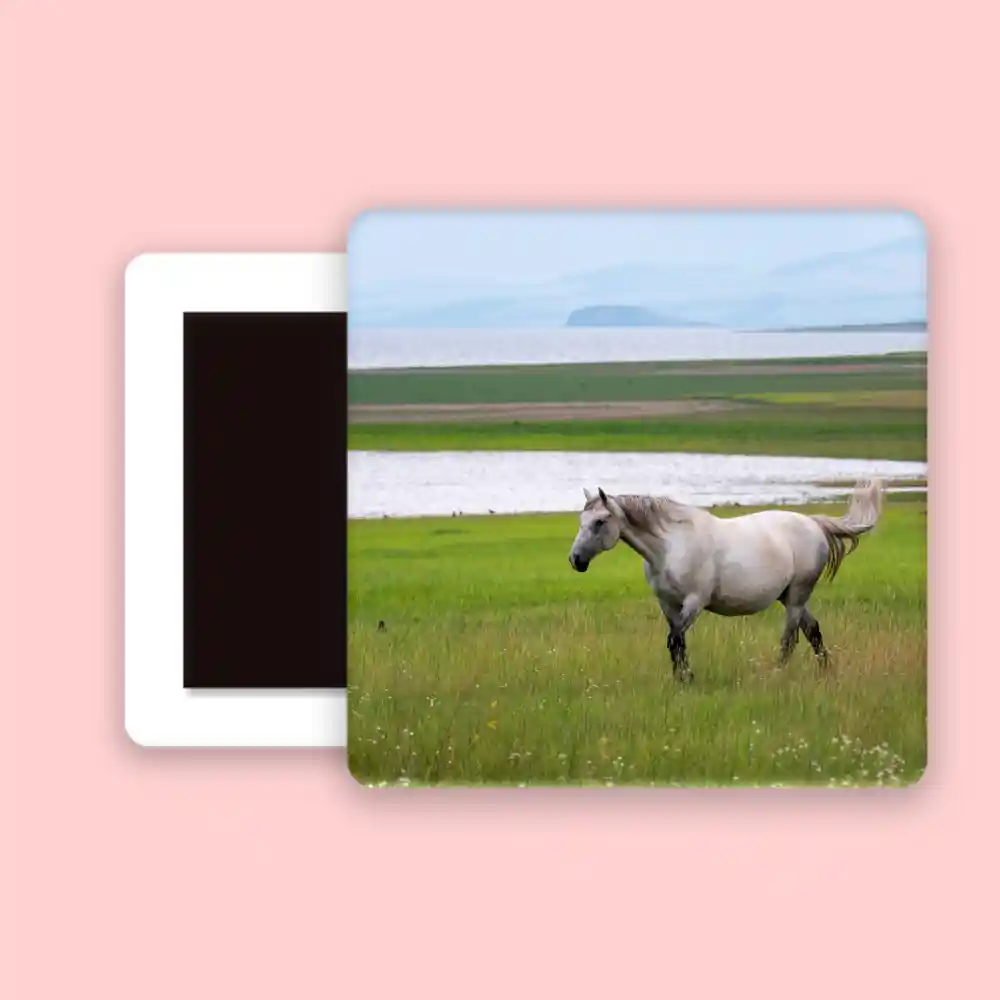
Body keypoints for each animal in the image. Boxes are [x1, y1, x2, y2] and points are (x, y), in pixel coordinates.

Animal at [567, 479, 884, 681]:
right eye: (581, 522)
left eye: (599, 522)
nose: (575, 560)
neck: (671, 546)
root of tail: (814, 523)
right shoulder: (668, 605)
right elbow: (678, 642)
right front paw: (682, 679)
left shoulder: (694, 602)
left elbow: (674, 640)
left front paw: (686, 679)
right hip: (789, 596)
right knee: (813, 630)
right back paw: (825, 671)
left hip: (796, 596)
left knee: (791, 638)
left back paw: (777, 674)